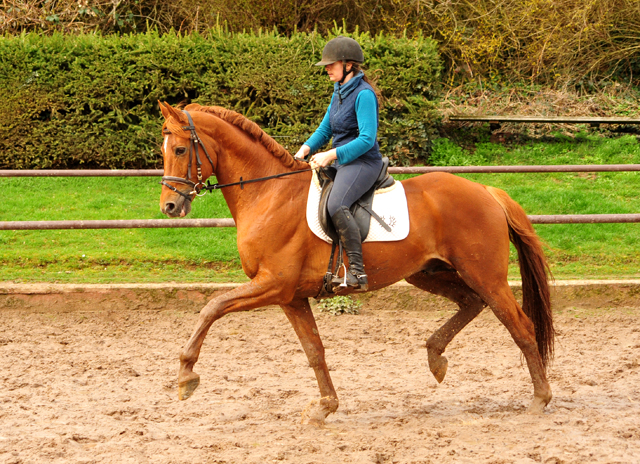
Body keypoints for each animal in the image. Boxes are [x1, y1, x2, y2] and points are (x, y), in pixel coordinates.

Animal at [158, 102, 552, 424]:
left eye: (180, 149)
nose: (169, 207)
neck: (269, 194)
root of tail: (486, 191)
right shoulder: (291, 297)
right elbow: (314, 351)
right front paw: (324, 407)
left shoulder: (273, 285)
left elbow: (212, 307)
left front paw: (186, 376)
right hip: (428, 273)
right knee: (471, 302)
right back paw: (436, 358)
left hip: (484, 275)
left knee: (520, 326)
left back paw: (539, 400)